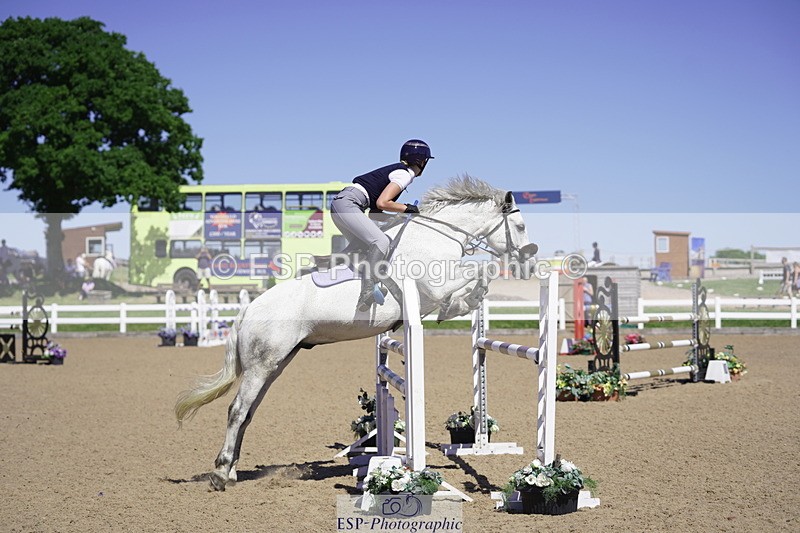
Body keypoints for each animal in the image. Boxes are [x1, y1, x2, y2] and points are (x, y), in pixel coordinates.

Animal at [174, 176, 538, 491]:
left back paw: (232, 471)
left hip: (274, 365)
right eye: (520, 226)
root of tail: (247, 310)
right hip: (262, 366)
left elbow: (476, 275)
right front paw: (463, 302)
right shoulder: (435, 284)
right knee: (237, 410)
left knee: (247, 413)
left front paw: (465, 302)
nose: (530, 261)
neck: (436, 238)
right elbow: (479, 270)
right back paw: (220, 473)